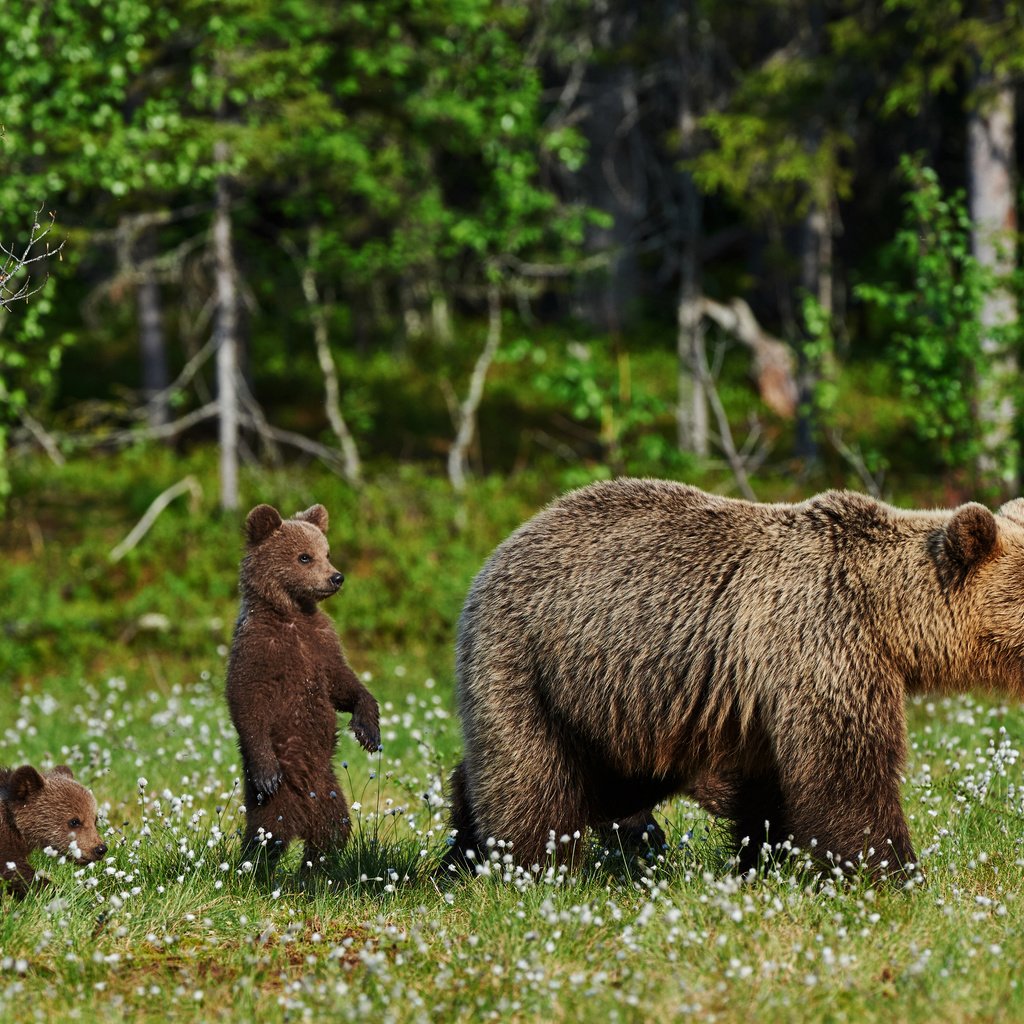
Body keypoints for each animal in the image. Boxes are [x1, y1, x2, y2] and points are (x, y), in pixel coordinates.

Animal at [227, 499, 380, 868]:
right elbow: (246, 699)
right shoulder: (259, 650)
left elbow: (343, 683)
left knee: (334, 831)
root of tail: (302, 817)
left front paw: (368, 729)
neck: (292, 614)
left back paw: (313, 868)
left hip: (329, 791)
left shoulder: (321, 644)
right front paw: (266, 770)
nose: (336, 577)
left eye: (327, 552)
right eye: (304, 557)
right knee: (268, 835)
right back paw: (255, 869)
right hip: (277, 799)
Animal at [446, 475, 1024, 876]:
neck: (886, 614)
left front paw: (764, 861)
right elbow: (847, 770)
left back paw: (460, 850)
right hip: (530, 664)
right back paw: (526, 867)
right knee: (532, 779)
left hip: (616, 706)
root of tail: (500, 549)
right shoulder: (821, 641)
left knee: (608, 783)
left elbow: (770, 788)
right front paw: (892, 874)